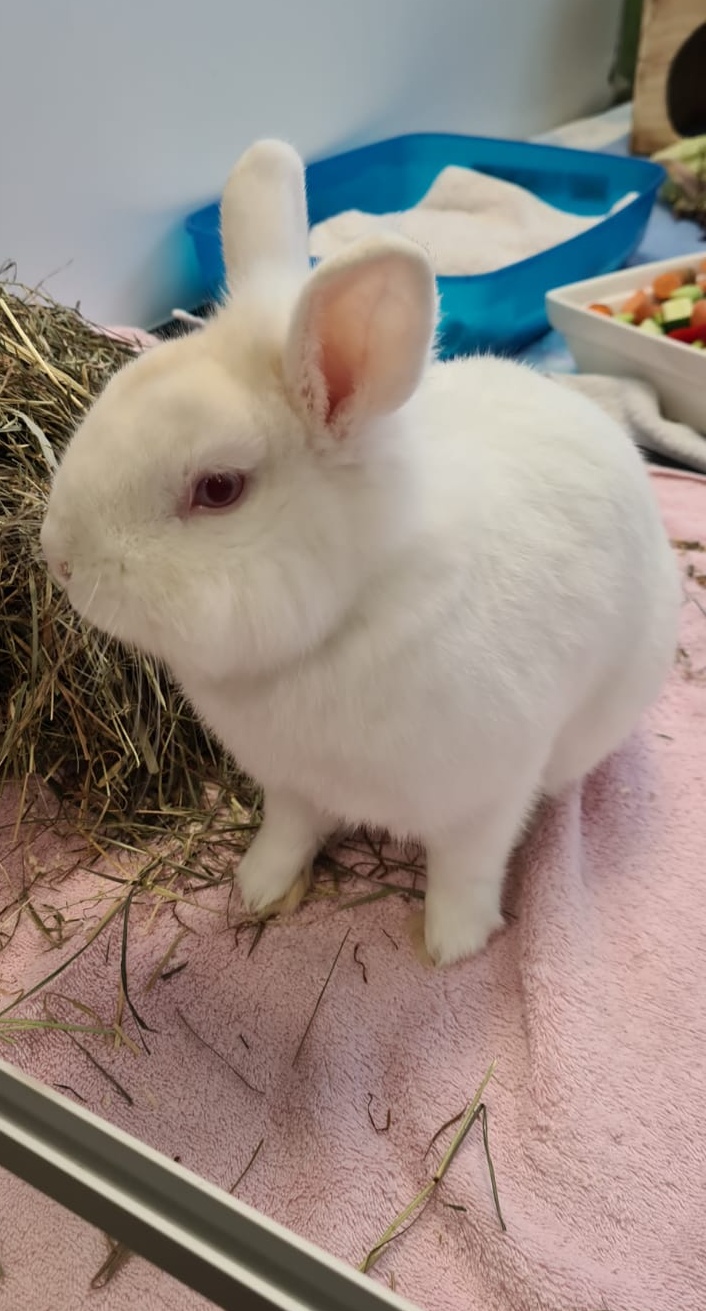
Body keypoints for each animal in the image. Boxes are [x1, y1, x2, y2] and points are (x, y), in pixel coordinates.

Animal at [41, 138, 681, 967]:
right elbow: (289, 832)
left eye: (218, 488)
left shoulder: (485, 797)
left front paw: (452, 946)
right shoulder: (290, 784)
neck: (347, 619)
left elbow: (466, 869)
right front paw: (259, 887)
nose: (58, 558)